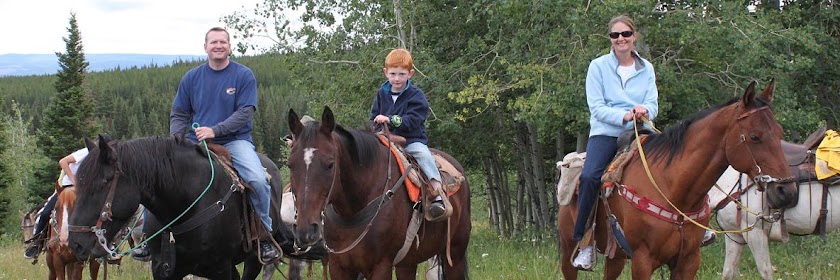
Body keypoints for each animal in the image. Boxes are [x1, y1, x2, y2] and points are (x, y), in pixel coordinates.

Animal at [288, 106, 472, 278]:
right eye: (290, 165)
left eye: (330, 164)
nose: (306, 230)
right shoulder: (338, 266)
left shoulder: (381, 266)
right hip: (407, 264)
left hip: (455, 255)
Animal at [556, 80, 800, 278]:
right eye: (754, 137)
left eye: (779, 133)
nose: (786, 191)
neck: (674, 189)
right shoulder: (642, 261)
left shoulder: (688, 261)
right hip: (568, 251)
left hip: (615, 255)